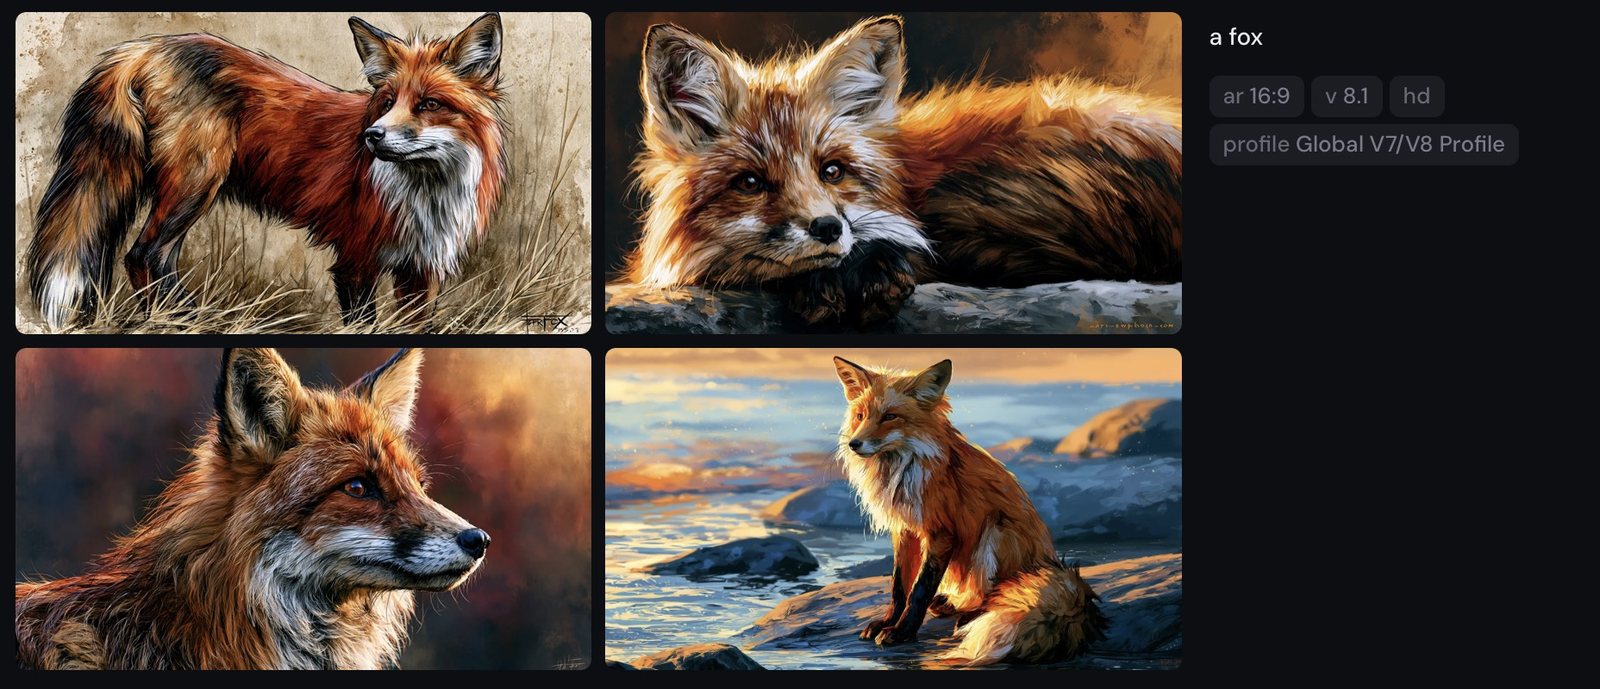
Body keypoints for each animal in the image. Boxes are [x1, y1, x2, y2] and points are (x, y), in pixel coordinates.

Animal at [25, 13, 509, 330]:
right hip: (195, 183)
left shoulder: (418, 273)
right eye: (388, 102)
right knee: (142, 255)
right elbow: (364, 325)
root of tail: (147, 46)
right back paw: (180, 323)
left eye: (429, 104)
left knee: (149, 257)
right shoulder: (355, 261)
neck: (424, 194)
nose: (371, 136)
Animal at [832, 357, 1107, 666]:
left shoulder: (941, 532)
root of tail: (1051, 565)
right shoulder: (904, 530)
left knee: (994, 595)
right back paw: (950, 605)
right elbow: (898, 587)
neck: (901, 468)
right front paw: (887, 622)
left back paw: (970, 616)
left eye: (890, 416)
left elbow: (919, 590)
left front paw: (902, 632)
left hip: (996, 534)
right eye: (860, 416)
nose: (854, 444)